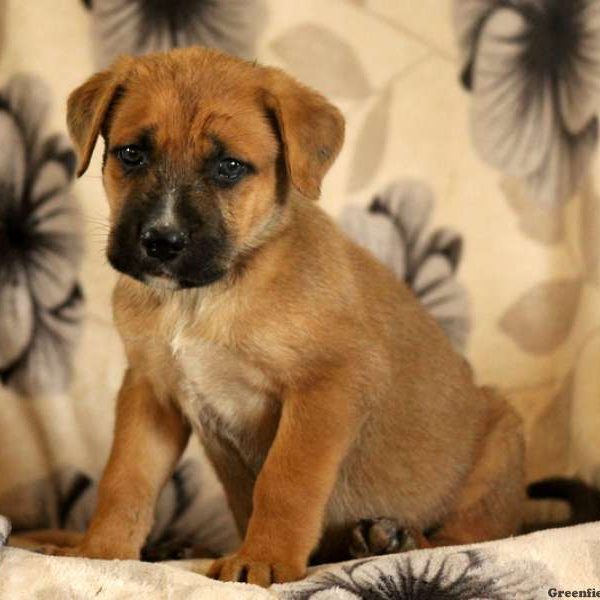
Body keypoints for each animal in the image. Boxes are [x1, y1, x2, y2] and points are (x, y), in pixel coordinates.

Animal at [48, 49, 524, 588]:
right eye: (132, 154)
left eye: (229, 167)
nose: (161, 241)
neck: (204, 297)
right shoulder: (152, 393)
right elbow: (125, 479)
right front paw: (101, 552)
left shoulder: (329, 385)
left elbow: (286, 480)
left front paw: (265, 559)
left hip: (501, 444)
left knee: (469, 535)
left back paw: (394, 538)